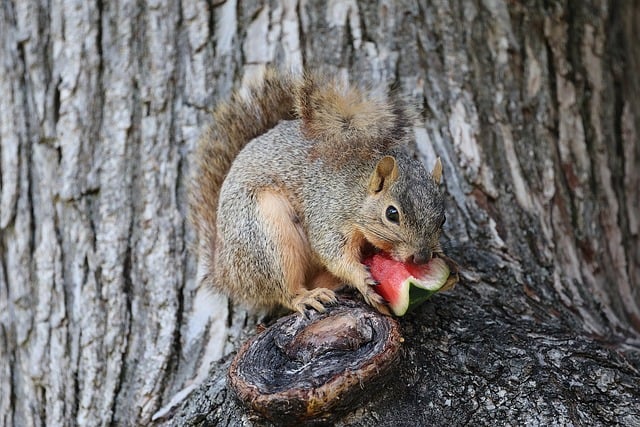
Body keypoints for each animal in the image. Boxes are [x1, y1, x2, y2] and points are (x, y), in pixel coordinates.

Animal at [189, 69, 446, 316]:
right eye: (391, 214)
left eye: (443, 219)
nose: (421, 258)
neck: (358, 188)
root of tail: (226, 272)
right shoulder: (328, 210)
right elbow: (332, 251)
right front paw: (361, 280)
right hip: (265, 237)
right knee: (283, 289)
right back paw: (305, 297)